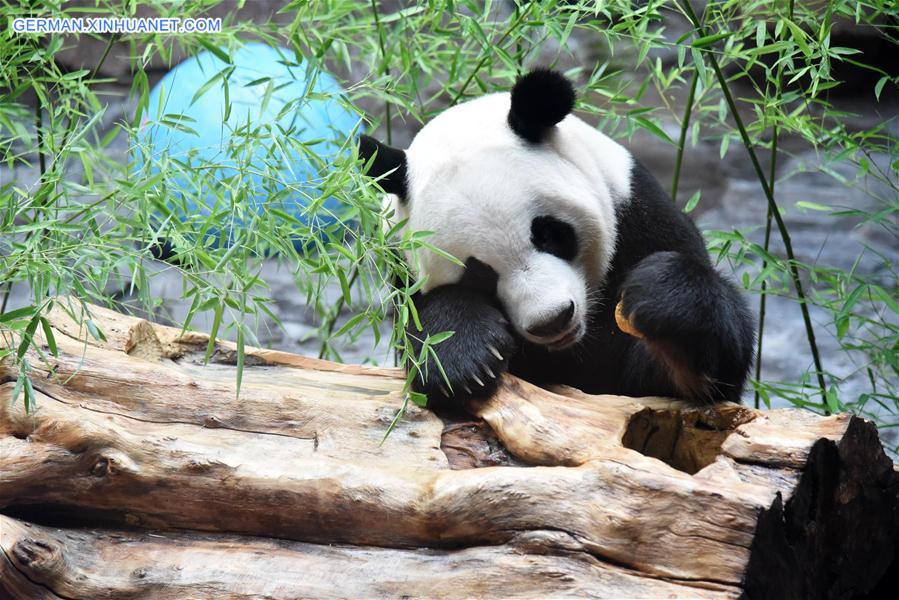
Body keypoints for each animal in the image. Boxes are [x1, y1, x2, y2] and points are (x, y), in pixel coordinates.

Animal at [356, 70, 756, 408]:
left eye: (548, 233)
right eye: (479, 273)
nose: (552, 320)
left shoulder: (640, 217)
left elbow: (679, 384)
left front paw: (664, 306)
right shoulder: (401, 270)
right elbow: (426, 336)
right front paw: (464, 357)